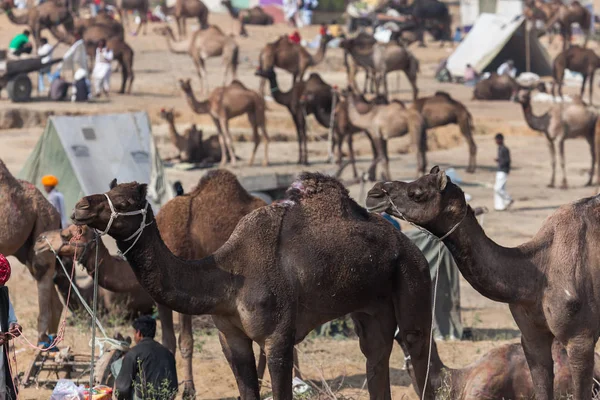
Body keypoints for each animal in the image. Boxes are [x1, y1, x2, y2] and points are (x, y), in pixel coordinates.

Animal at [0, 160, 62, 344]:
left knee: (42, 271)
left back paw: (42, 337)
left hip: (44, 225)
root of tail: (54, 210)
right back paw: (52, 340)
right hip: (26, 246)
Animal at [72, 172, 434, 400]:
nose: (80, 206)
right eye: (110, 190)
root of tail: (408, 244)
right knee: (376, 355)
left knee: (418, 351)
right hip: (371, 311)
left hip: (414, 277)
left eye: (123, 201)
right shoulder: (231, 338)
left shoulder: (277, 339)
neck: (229, 277)